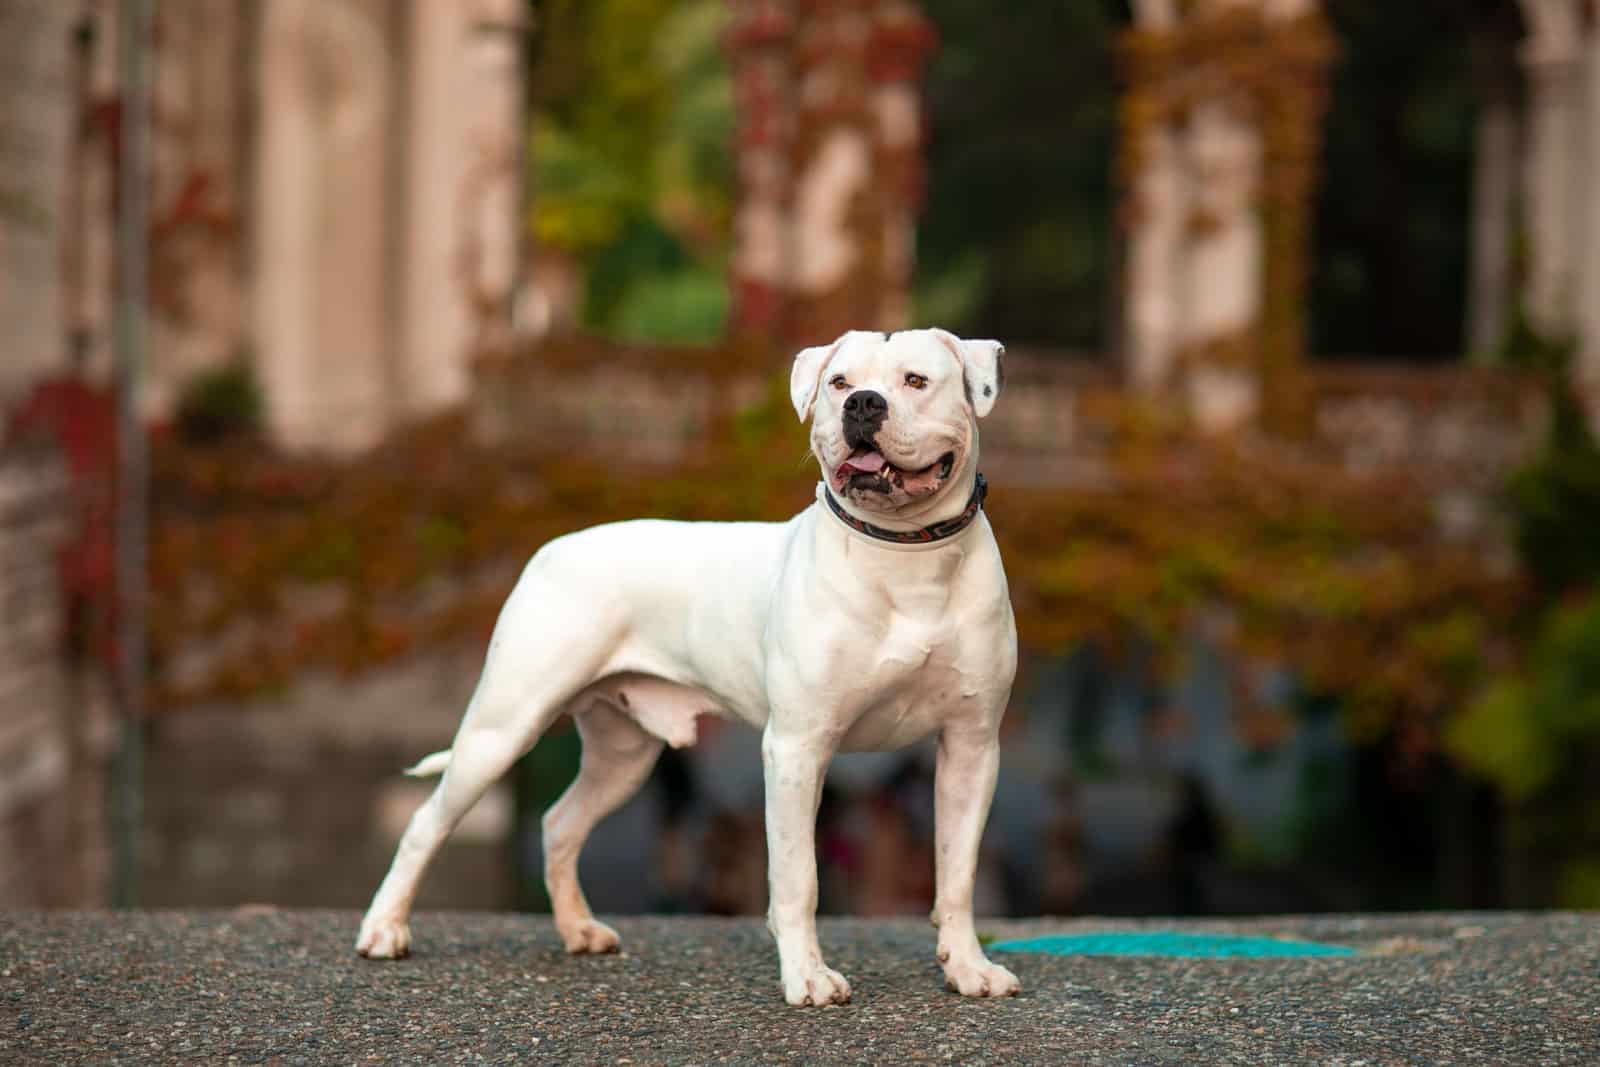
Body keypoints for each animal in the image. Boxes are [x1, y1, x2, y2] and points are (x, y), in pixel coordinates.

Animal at [356, 329, 1017, 1004]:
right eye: (839, 383)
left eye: (915, 381)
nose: (862, 404)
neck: (905, 555)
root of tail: (550, 549)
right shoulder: (798, 747)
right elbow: (797, 876)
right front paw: (807, 976)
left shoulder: (970, 747)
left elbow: (956, 872)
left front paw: (969, 967)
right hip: (501, 729)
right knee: (427, 822)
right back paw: (384, 930)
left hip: (623, 755)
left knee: (560, 823)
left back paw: (578, 929)